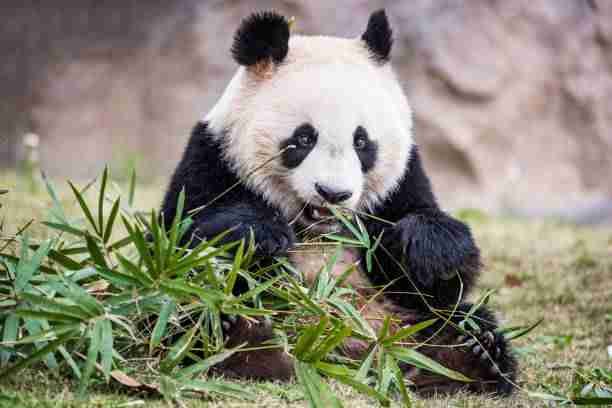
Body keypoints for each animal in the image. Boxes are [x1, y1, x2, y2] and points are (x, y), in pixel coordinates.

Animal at [163, 9, 516, 396]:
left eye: (362, 142)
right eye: (303, 138)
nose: (332, 193)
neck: (317, 229)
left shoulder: (401, 184)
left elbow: (431, 284)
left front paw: (428, 248)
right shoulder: (213, 159)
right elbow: (182, 242)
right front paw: (261, 234)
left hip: (407, 325)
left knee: (463, 320)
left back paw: (467, 357)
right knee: (194, 306)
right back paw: (241, 341)